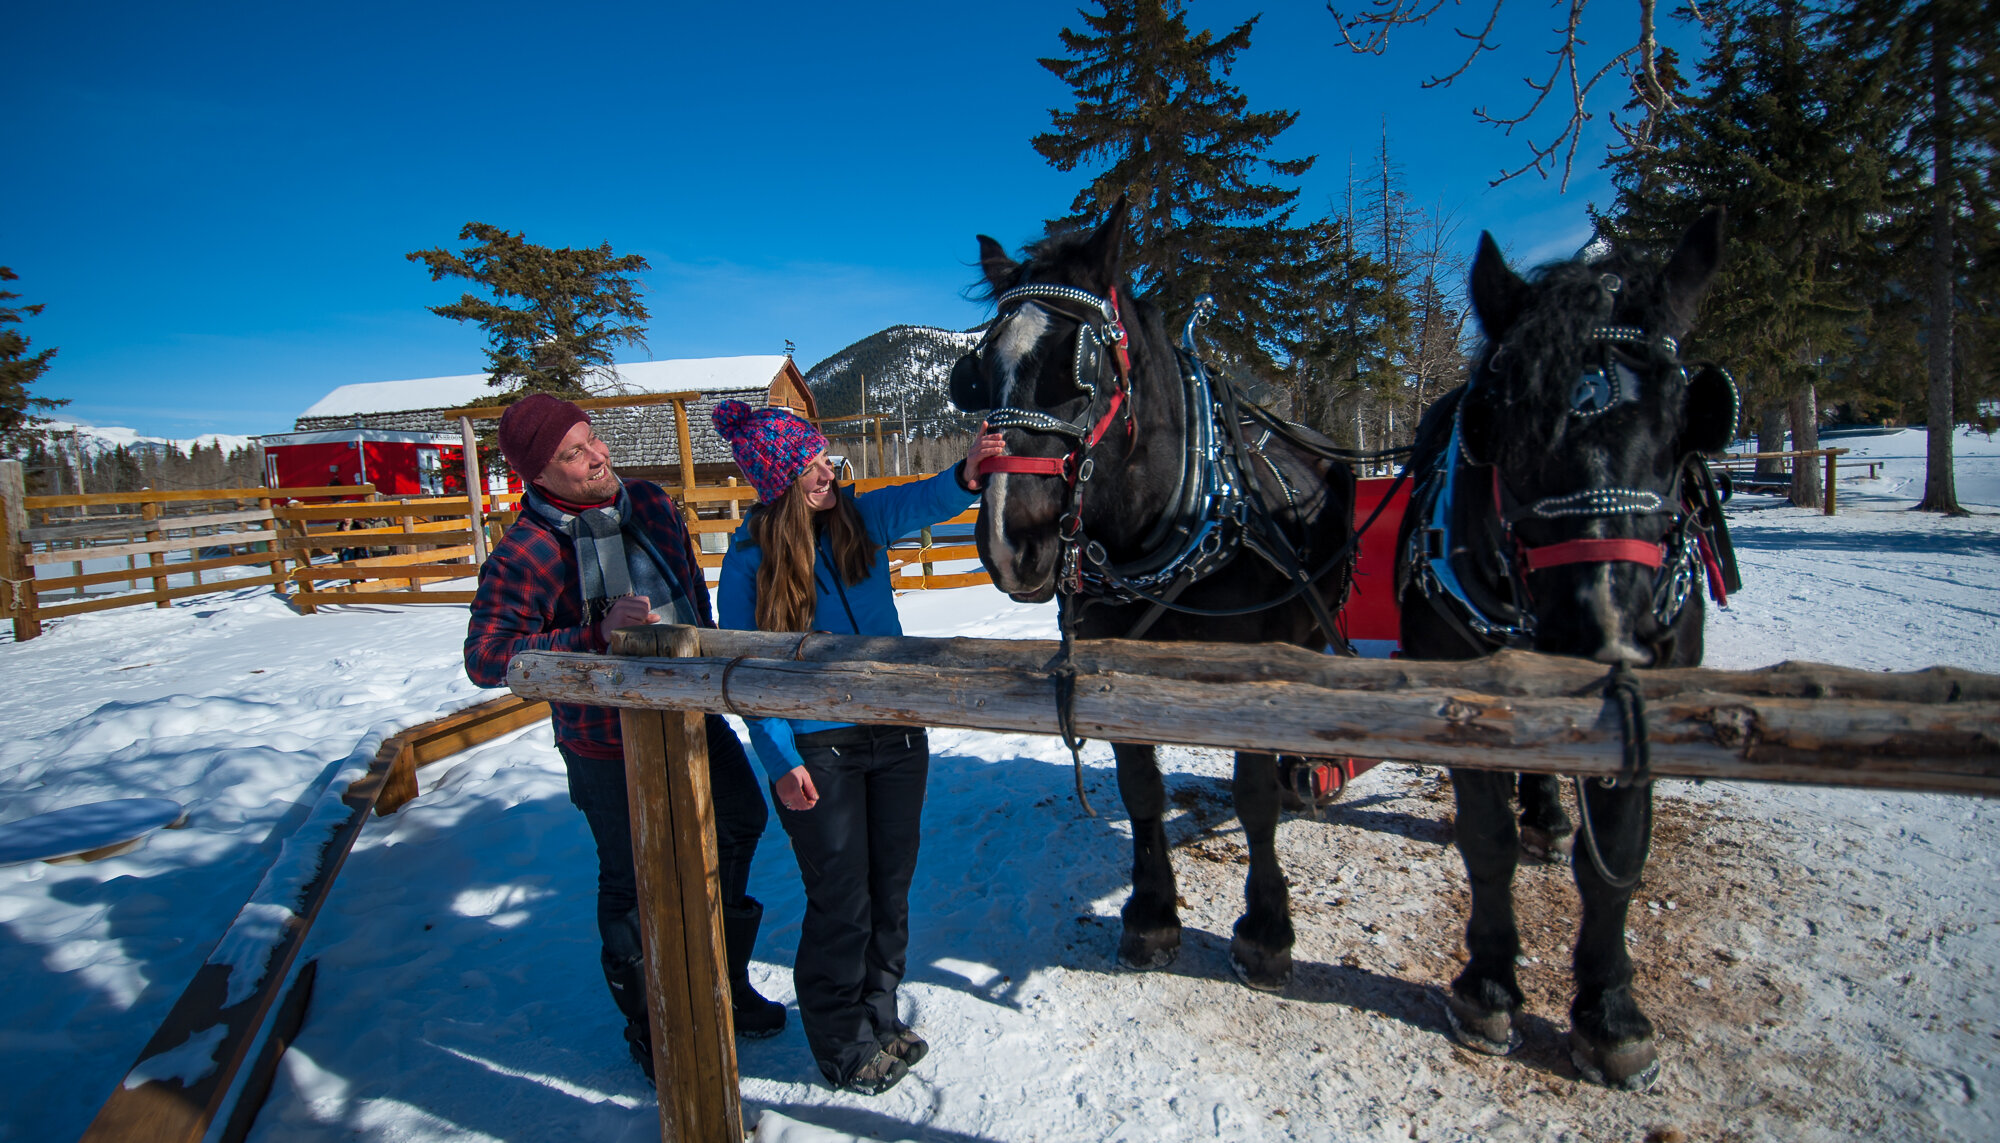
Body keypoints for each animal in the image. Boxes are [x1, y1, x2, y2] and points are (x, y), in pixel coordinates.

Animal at [952, 207, 1360, 991]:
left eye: (1077, 367)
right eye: (979, 374)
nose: (1007, 540)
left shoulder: (1256, 674)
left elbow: (1253, 799)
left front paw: (1266, 930)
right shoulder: (1110, 670)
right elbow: (1140, 789)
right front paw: (1150, 914)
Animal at [1400, 209, 1744, 1095]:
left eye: (1686, 414)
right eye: (1501, 416)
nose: (1604, 637)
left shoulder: (1642, 716)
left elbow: (1616, 856)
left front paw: (1610, 1010)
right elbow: (1486, 842)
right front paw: (1489, 985)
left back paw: (1552, 817)